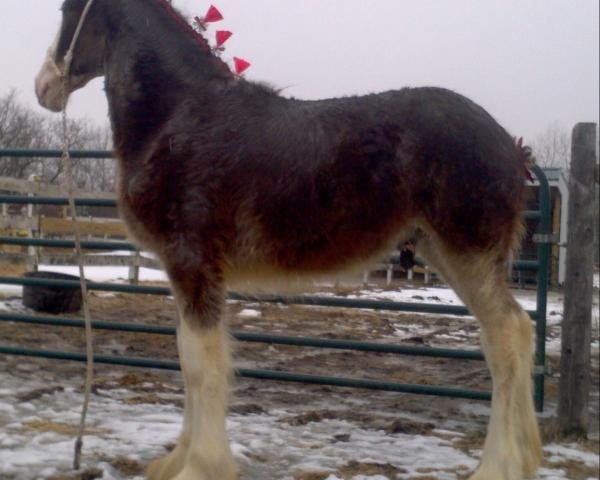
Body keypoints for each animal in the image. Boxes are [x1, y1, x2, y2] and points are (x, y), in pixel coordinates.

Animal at [34, 0, 544, 480]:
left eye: (66, 10)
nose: (44, 88)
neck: (179, 117)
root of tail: (510, 146)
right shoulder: (188, 272)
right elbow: (187, 358)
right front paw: (175, 461)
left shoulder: (193, 262)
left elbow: (201, 364)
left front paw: (199, 466)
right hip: (447, 253)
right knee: (508, 335)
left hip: (468, 253)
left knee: (507, 337)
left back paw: (497, 466)